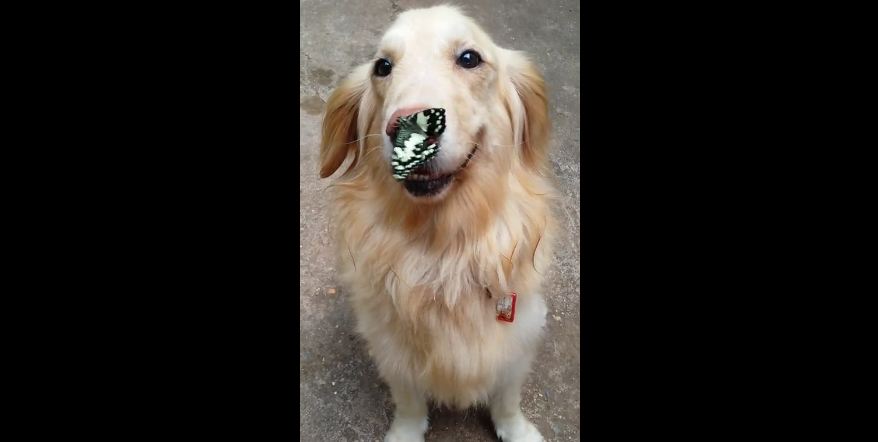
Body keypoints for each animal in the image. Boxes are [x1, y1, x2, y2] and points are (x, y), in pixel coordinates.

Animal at [322, 4, 556, 442]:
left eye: (469, 58)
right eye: (383, 66)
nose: (409, 128)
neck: (444, 248)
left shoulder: (520, 334)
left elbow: (507, 398)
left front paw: (516, 429)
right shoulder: (391, 349)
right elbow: (409, 403)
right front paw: (405, 433)